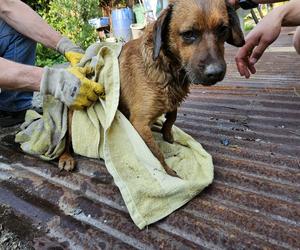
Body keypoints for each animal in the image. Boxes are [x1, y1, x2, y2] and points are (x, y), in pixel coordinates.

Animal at [58, 0, 244, 178]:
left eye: (223, 29)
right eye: (189, 34)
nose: (216, 72)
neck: (166, 67)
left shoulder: (171, 102)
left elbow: (172, 116)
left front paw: (167, 134)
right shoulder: (140, 123)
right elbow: (156, 153)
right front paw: (169, 172)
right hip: (72, 117)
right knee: (67, 141)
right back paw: (66, 157)